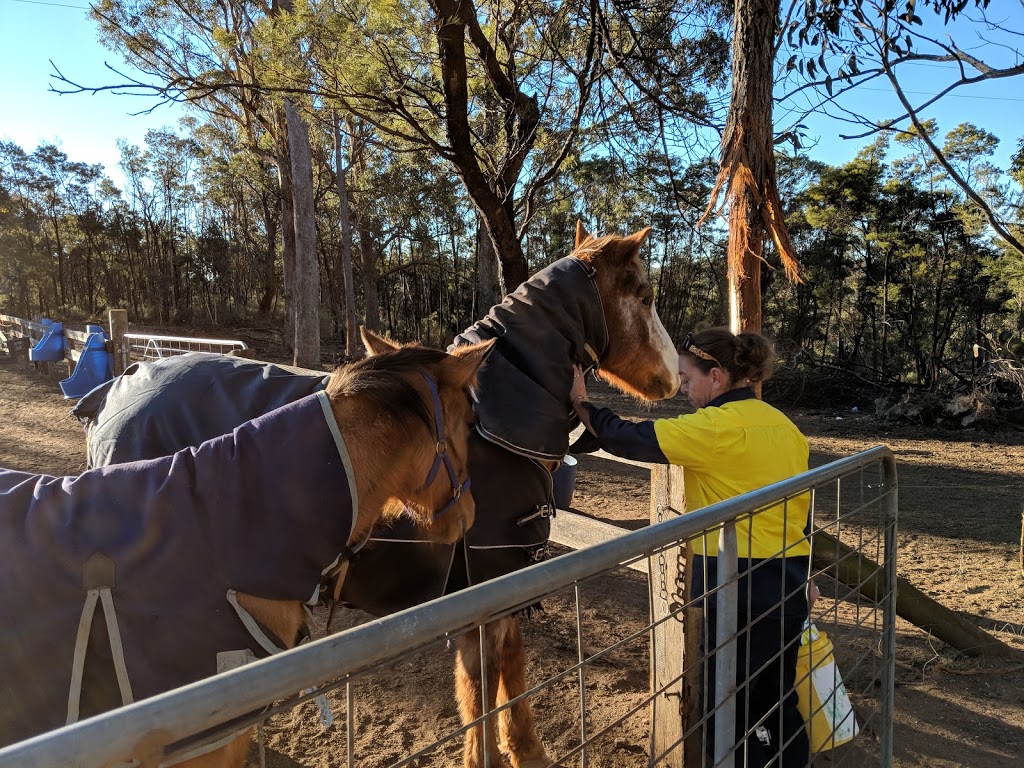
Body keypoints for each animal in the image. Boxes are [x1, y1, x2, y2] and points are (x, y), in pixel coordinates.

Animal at [72, 222, 679, 768]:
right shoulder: (484, 592)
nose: (674, 380)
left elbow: (508, 670)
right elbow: (484, 687)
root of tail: (120, 383)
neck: (496, 431)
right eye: (646, 296)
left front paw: (525, 749)